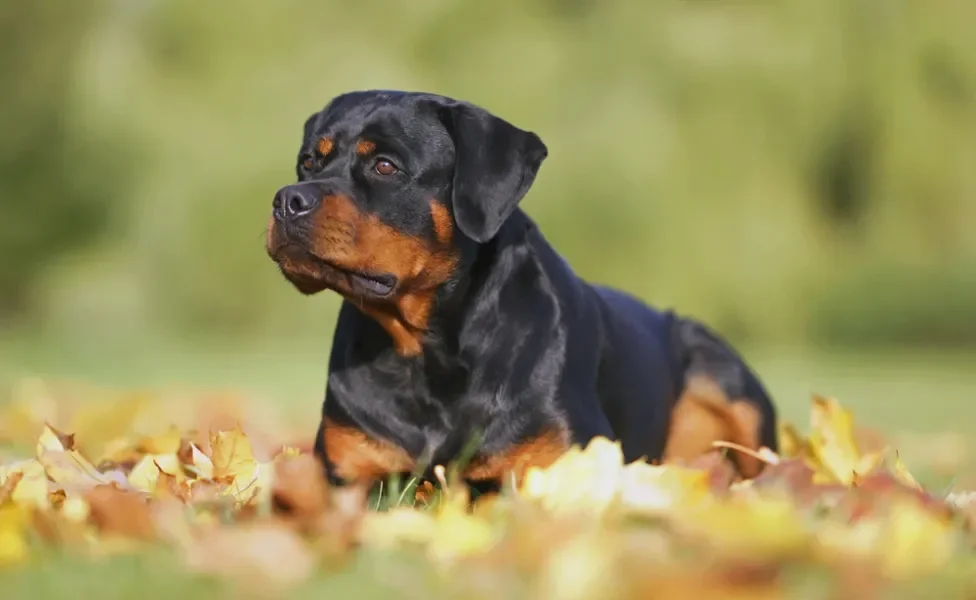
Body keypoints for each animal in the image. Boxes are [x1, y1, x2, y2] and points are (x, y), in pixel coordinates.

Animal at [264, 90, 776, 492]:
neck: (425, 353)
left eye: (385, 166)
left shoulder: (565, 461)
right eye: (308, 162)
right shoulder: (346, 472)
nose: (288, 199)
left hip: (722, 374)